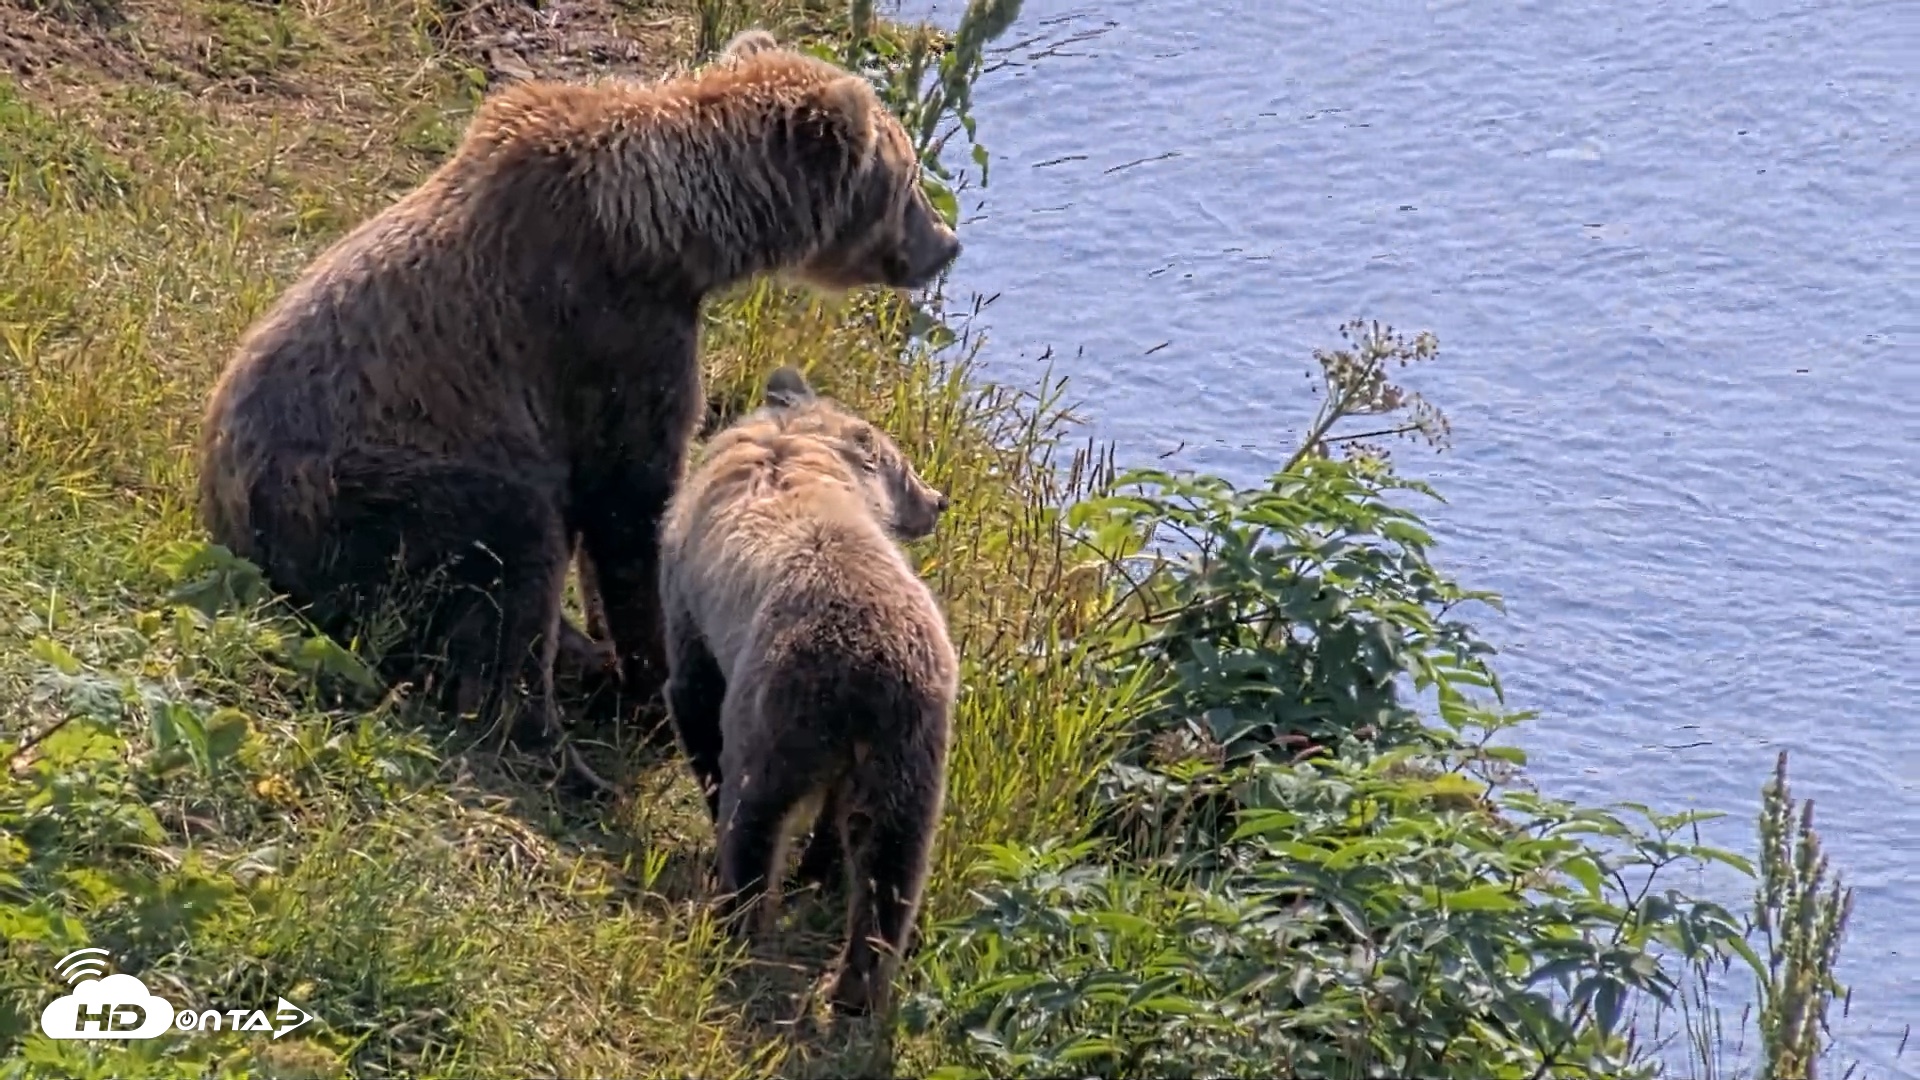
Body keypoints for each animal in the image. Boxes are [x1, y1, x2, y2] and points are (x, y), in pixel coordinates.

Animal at [193, 28, 962, 780]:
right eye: (910, 179)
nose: (948, 244)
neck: (678, 231)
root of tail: (246, 545)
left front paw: (616, 661)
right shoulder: (607, 328)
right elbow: (629, 500)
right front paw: (651, 686)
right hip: (378, 497)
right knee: (511, 552)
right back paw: (554, 747)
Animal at [656, 365, 956, 1017]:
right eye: (907, 466)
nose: (940, 500)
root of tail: (870, 664)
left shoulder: (690, 604)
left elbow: (692, 697)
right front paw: (818, 865)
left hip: (779, 700)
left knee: (755, 810)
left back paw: (735, 919)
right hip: (912, 739)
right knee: (893, 862)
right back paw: (855, 988)